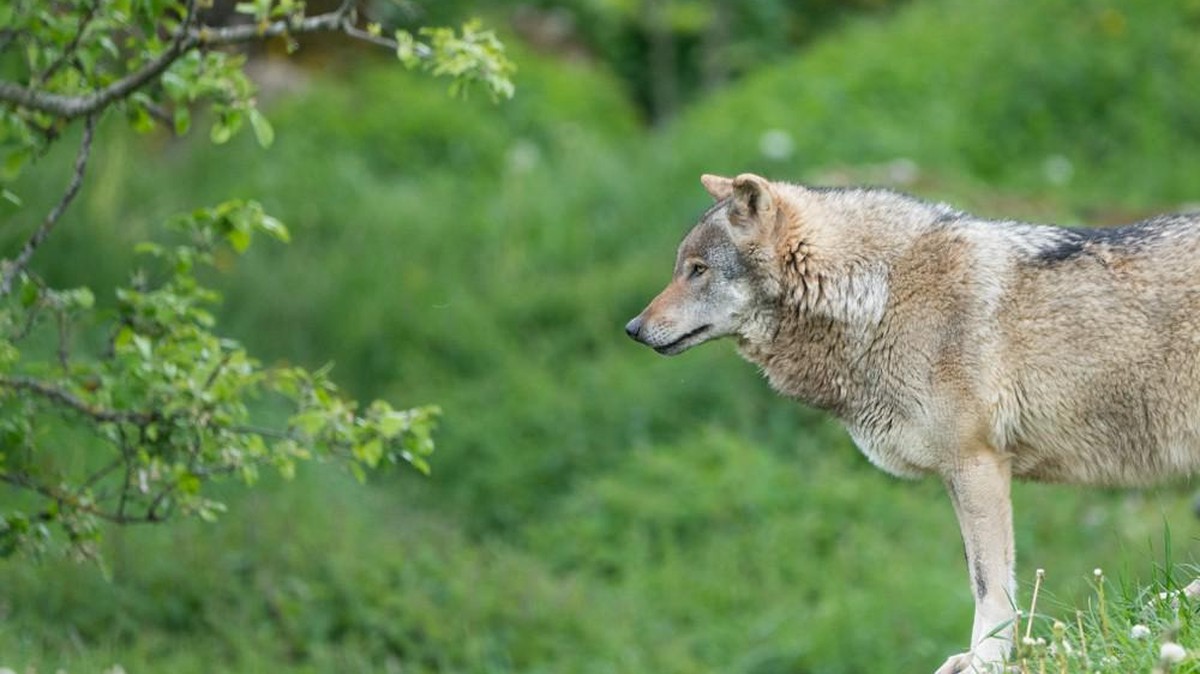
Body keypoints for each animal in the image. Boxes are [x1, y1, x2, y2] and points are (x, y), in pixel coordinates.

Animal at [624, 173, 1200, 673]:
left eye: (697, 270)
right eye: (682, 267)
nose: (632, 328)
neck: (880, 296)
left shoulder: (977, 465)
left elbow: (990, 586)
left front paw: (987, 662)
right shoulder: (957, 475)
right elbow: (979, 578)